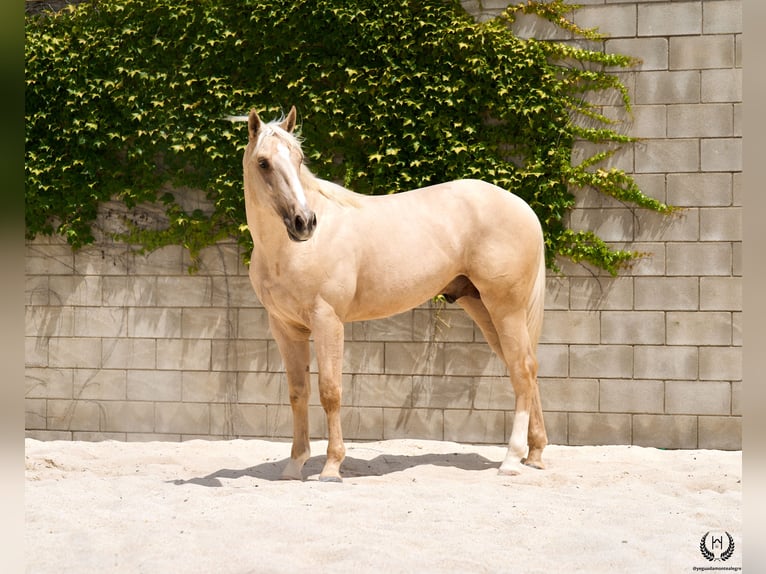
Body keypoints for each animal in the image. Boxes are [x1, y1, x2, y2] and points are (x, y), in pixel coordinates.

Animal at [241, 106, 548, 482]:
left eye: (299, 159)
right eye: (264, 163)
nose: (304, 222)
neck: (289, 251)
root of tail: (522, 206)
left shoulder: (328, 321)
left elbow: (330, 392)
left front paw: (331, 467)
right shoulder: (285, 327)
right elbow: (298, 393)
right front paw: (294, 465)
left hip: (506, 308)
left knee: (523, 369)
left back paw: (511, 459)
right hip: (484, 308)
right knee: (524, 370)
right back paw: (534, 454)